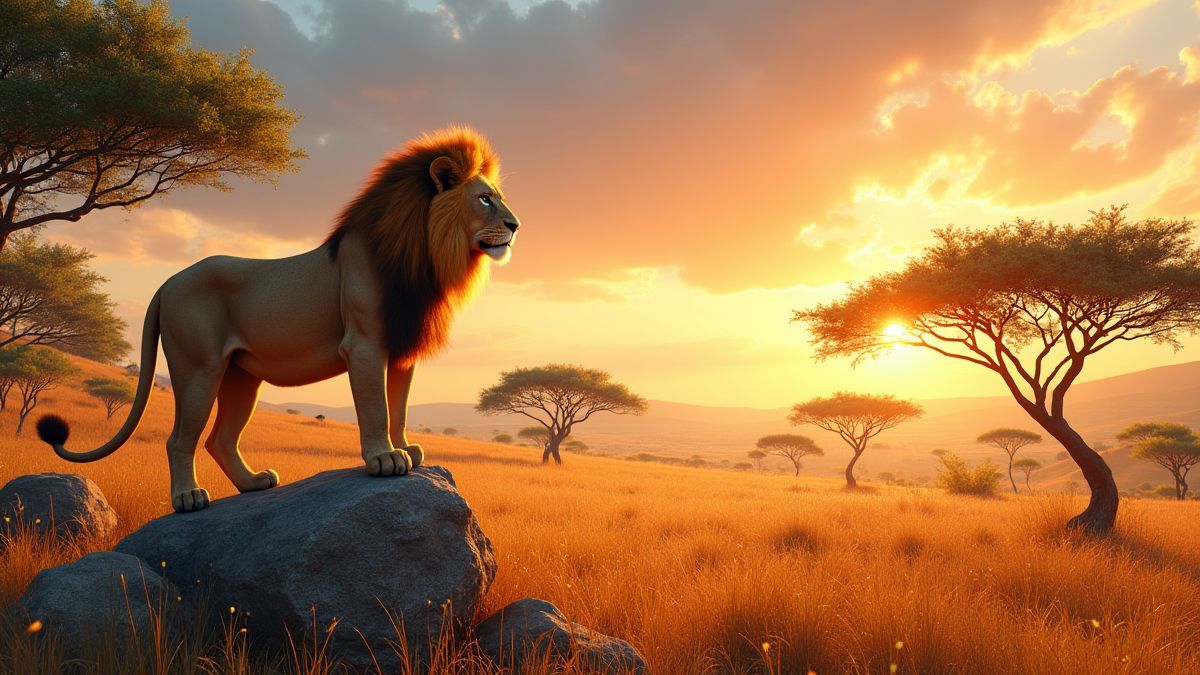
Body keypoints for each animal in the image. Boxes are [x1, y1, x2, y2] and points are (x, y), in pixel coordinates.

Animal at [36, 126, 520, 512]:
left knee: (219, 439)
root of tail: (167, 282)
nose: (516, 225)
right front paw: (384, 459)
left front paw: (405, 449)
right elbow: (375, 408)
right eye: (484, 199)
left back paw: (253, 483)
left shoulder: (401, 348)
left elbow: (398, 409)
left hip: (240, 377)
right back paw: (188, 498)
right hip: (198, 368)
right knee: (180, 439)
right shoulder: (364, 344)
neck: (425, 254)